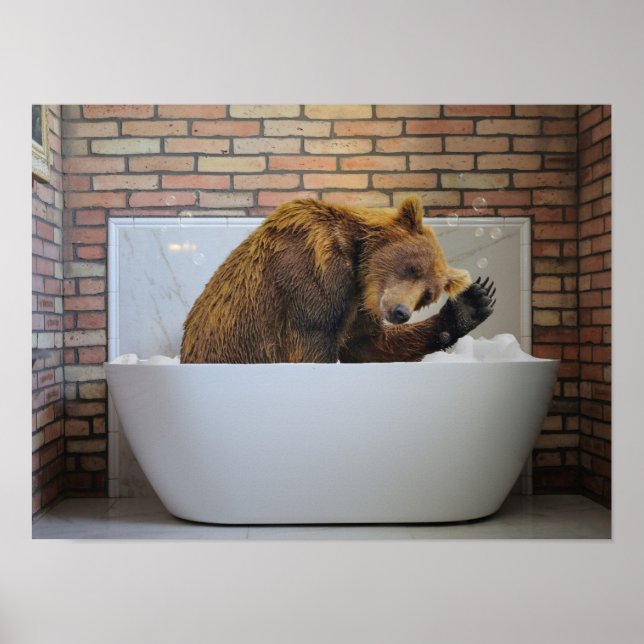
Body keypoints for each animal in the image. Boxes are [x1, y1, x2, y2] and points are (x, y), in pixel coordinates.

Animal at [180, 196, 495, 364]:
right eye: (412, 268)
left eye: (428, 295)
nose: (400, 312)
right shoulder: (310, 278)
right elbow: (313, 347)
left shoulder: (357, 304)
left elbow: (369, 345)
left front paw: (472, 303)